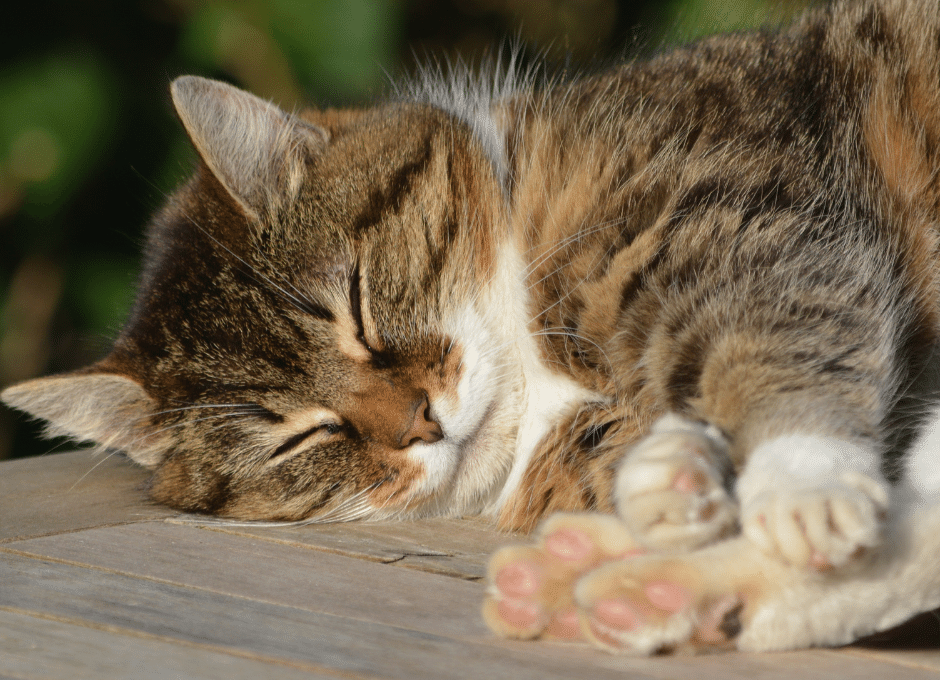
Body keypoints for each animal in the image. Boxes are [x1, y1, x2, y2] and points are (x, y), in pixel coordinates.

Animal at [5, 0, 940, 652]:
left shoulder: (741, 219)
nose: (420, 422)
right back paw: (624, 585)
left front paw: (802, 484)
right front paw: (673, 477)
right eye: (301, 437)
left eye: (358, 307)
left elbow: (776, 329)